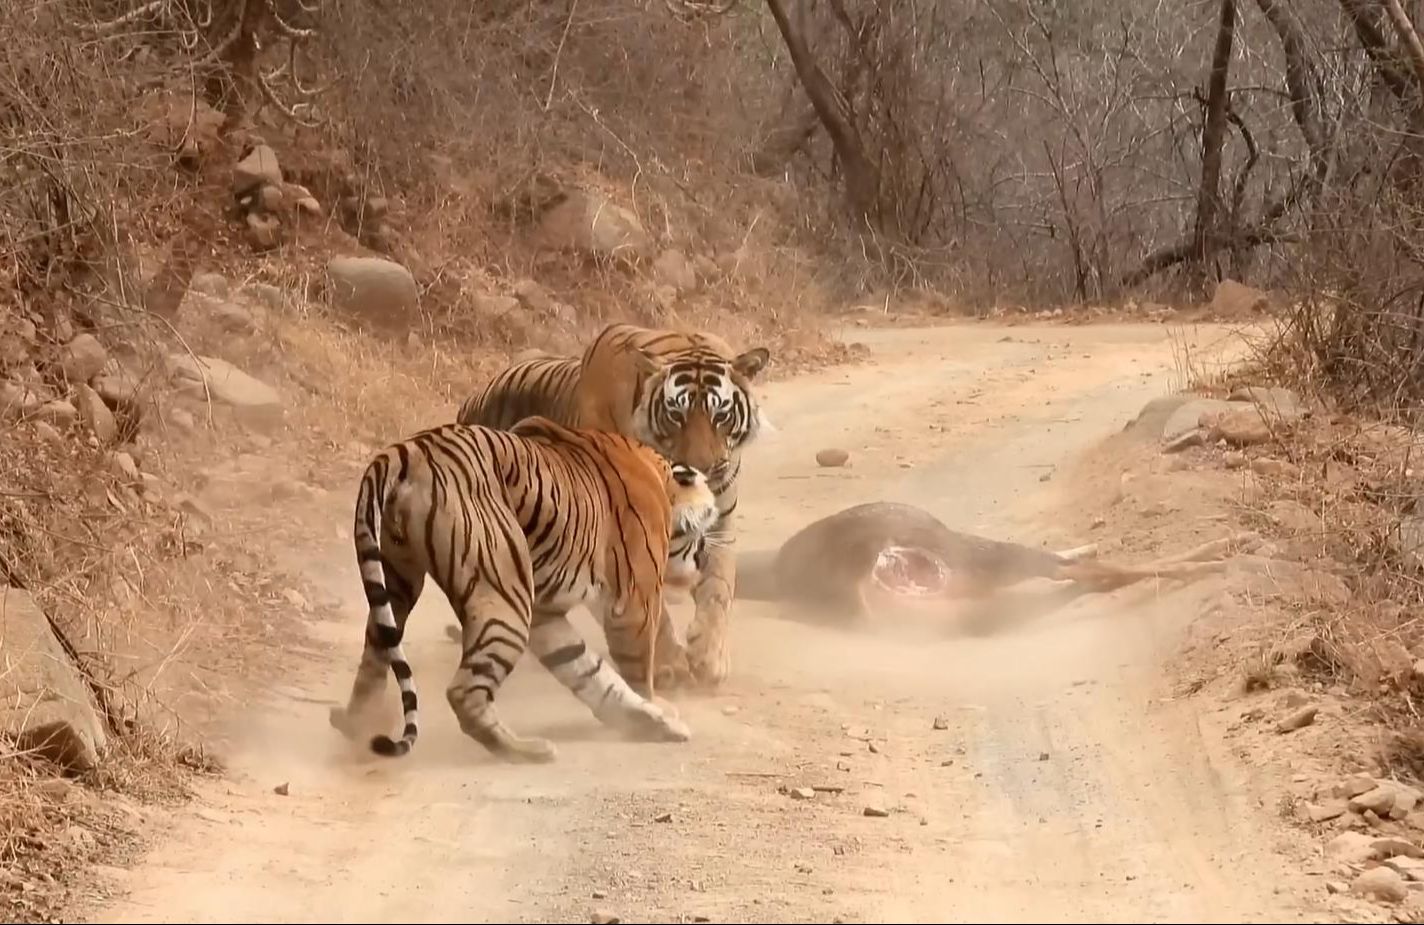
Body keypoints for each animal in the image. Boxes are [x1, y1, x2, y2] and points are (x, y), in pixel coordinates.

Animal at [326, 415, 717, 762]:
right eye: (700, 537)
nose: (702, 562)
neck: (661, 476)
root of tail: (406, 450)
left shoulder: (545, 616)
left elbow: (588, 671)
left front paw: (647, 721)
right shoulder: (634, 602)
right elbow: (635, 670)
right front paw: (656, 710)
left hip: (397, 579)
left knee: (374, 659)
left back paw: (356, 725)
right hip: (505, 596)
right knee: (463, 692)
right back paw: (527, 751)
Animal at [452, 320, 768, 688]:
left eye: (722, 415)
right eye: (676, 415)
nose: (703, 470)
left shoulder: (719, 524)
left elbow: (718, 589)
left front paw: (708, 657)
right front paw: (670, 666)